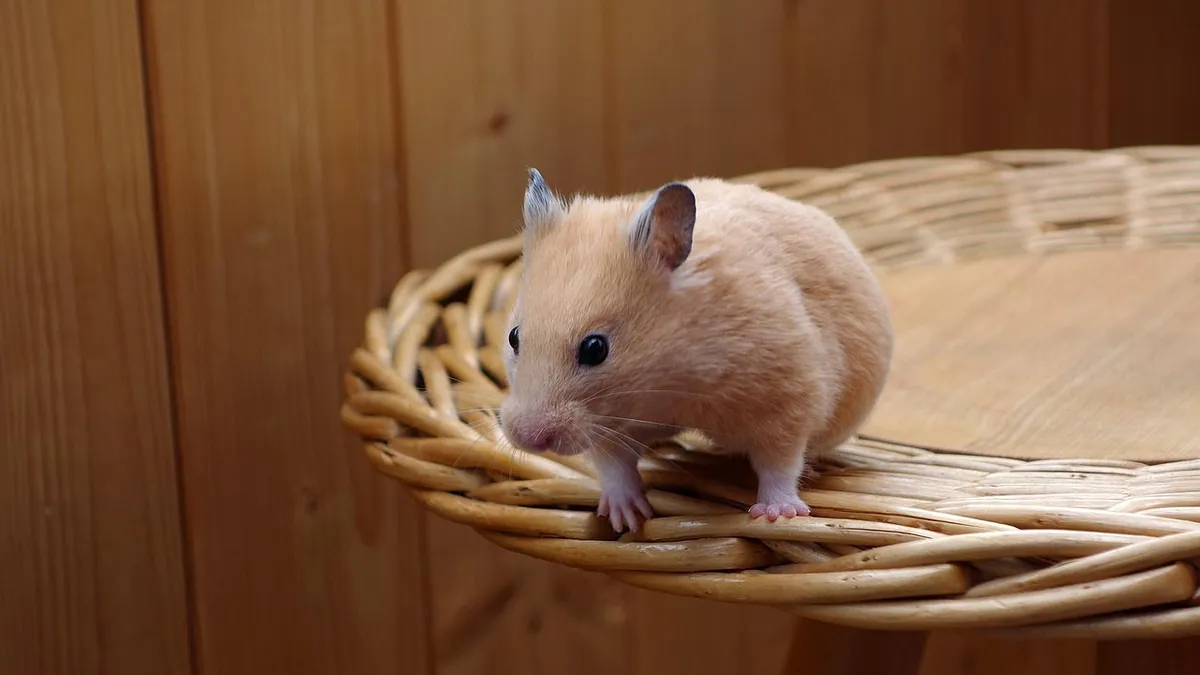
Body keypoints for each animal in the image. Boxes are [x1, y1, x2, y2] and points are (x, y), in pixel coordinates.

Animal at [498, 169, 893, 533]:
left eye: (595, 349)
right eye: (514, 337)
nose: (529, 439)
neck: (668, 382)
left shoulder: (789, 398)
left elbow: (780, 462)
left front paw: (776, 515)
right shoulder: (607, 425)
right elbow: (614, 464)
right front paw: (627, 518)